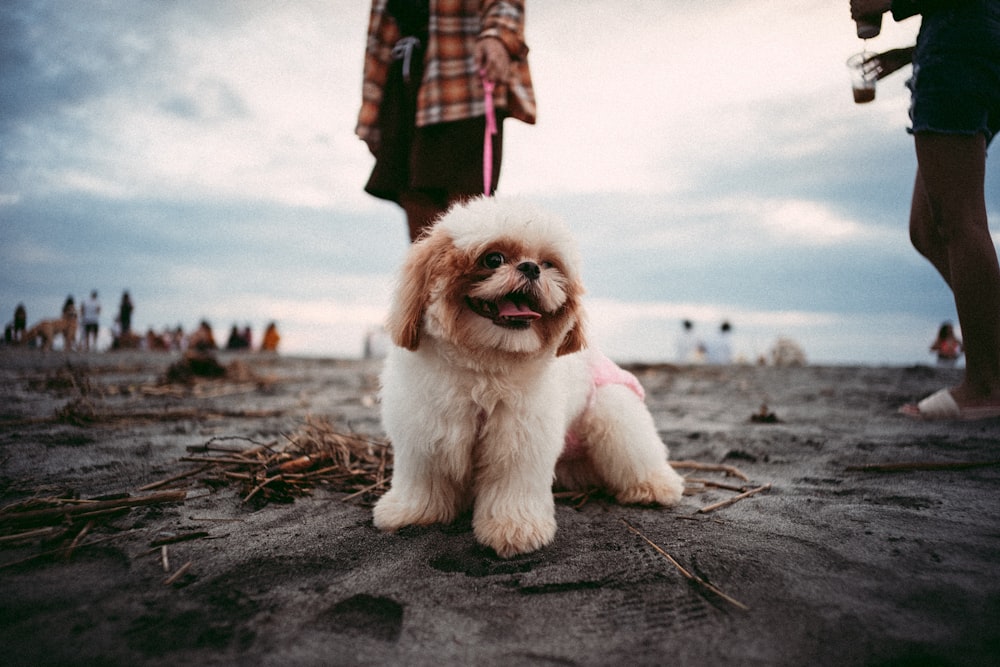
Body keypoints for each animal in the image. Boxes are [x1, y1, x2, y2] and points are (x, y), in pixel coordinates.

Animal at [372, 198, 684, 560]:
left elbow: (512, 489)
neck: (485, 366)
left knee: (637, 451)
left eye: (548, 263)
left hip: (614, 410)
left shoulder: (519, 442)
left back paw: (655, 486)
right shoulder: (425, 433)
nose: (531, 268)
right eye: (493, 259)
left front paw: (514, 530)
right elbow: (423, 482)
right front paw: (413, 513)